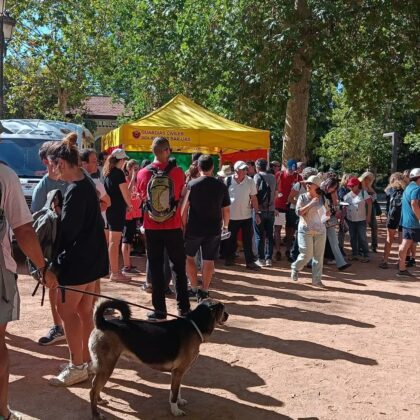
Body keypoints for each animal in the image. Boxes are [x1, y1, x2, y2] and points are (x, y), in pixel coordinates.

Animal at [87, 298, 228, 416]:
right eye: (222, 308)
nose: (227, 315)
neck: (195, 325)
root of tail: (102, 323)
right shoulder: (178, 372)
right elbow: (174, 394)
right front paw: (175, 411)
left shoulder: (177, 373)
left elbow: (176, 390)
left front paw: (179, 402)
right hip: (107, 367)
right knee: (93, 391)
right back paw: (96, 414)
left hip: (103, 368)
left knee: (95, 386)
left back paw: (100, 400)